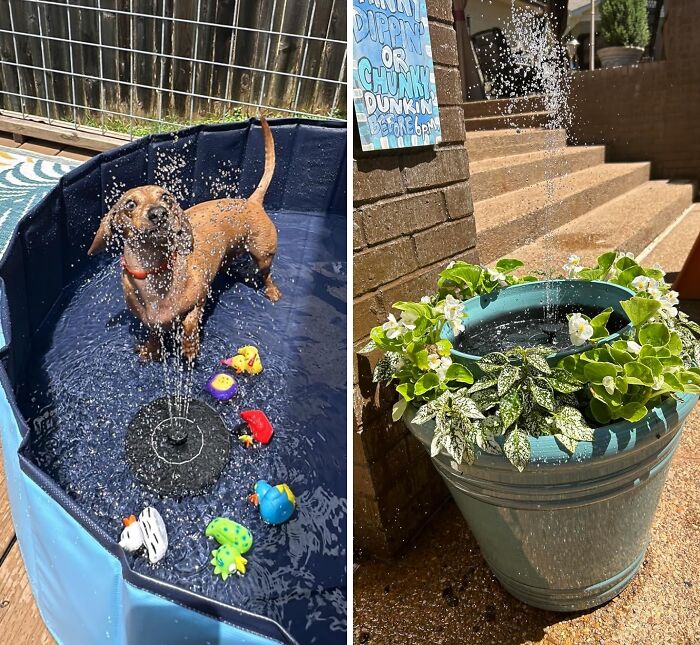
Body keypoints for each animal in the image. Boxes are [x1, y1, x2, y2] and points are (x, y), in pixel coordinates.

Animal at [89, 118, 280, 360]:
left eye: (166, 198)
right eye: (130, 204)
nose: (159, 213)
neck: (154, 273)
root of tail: (251, 201)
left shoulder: (199, 297)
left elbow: (190, 321)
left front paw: (189, 345)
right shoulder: (150, 321)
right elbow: (154, 333)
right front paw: (151, 349)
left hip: (262, 255)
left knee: (267, 275)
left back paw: (272, 291)